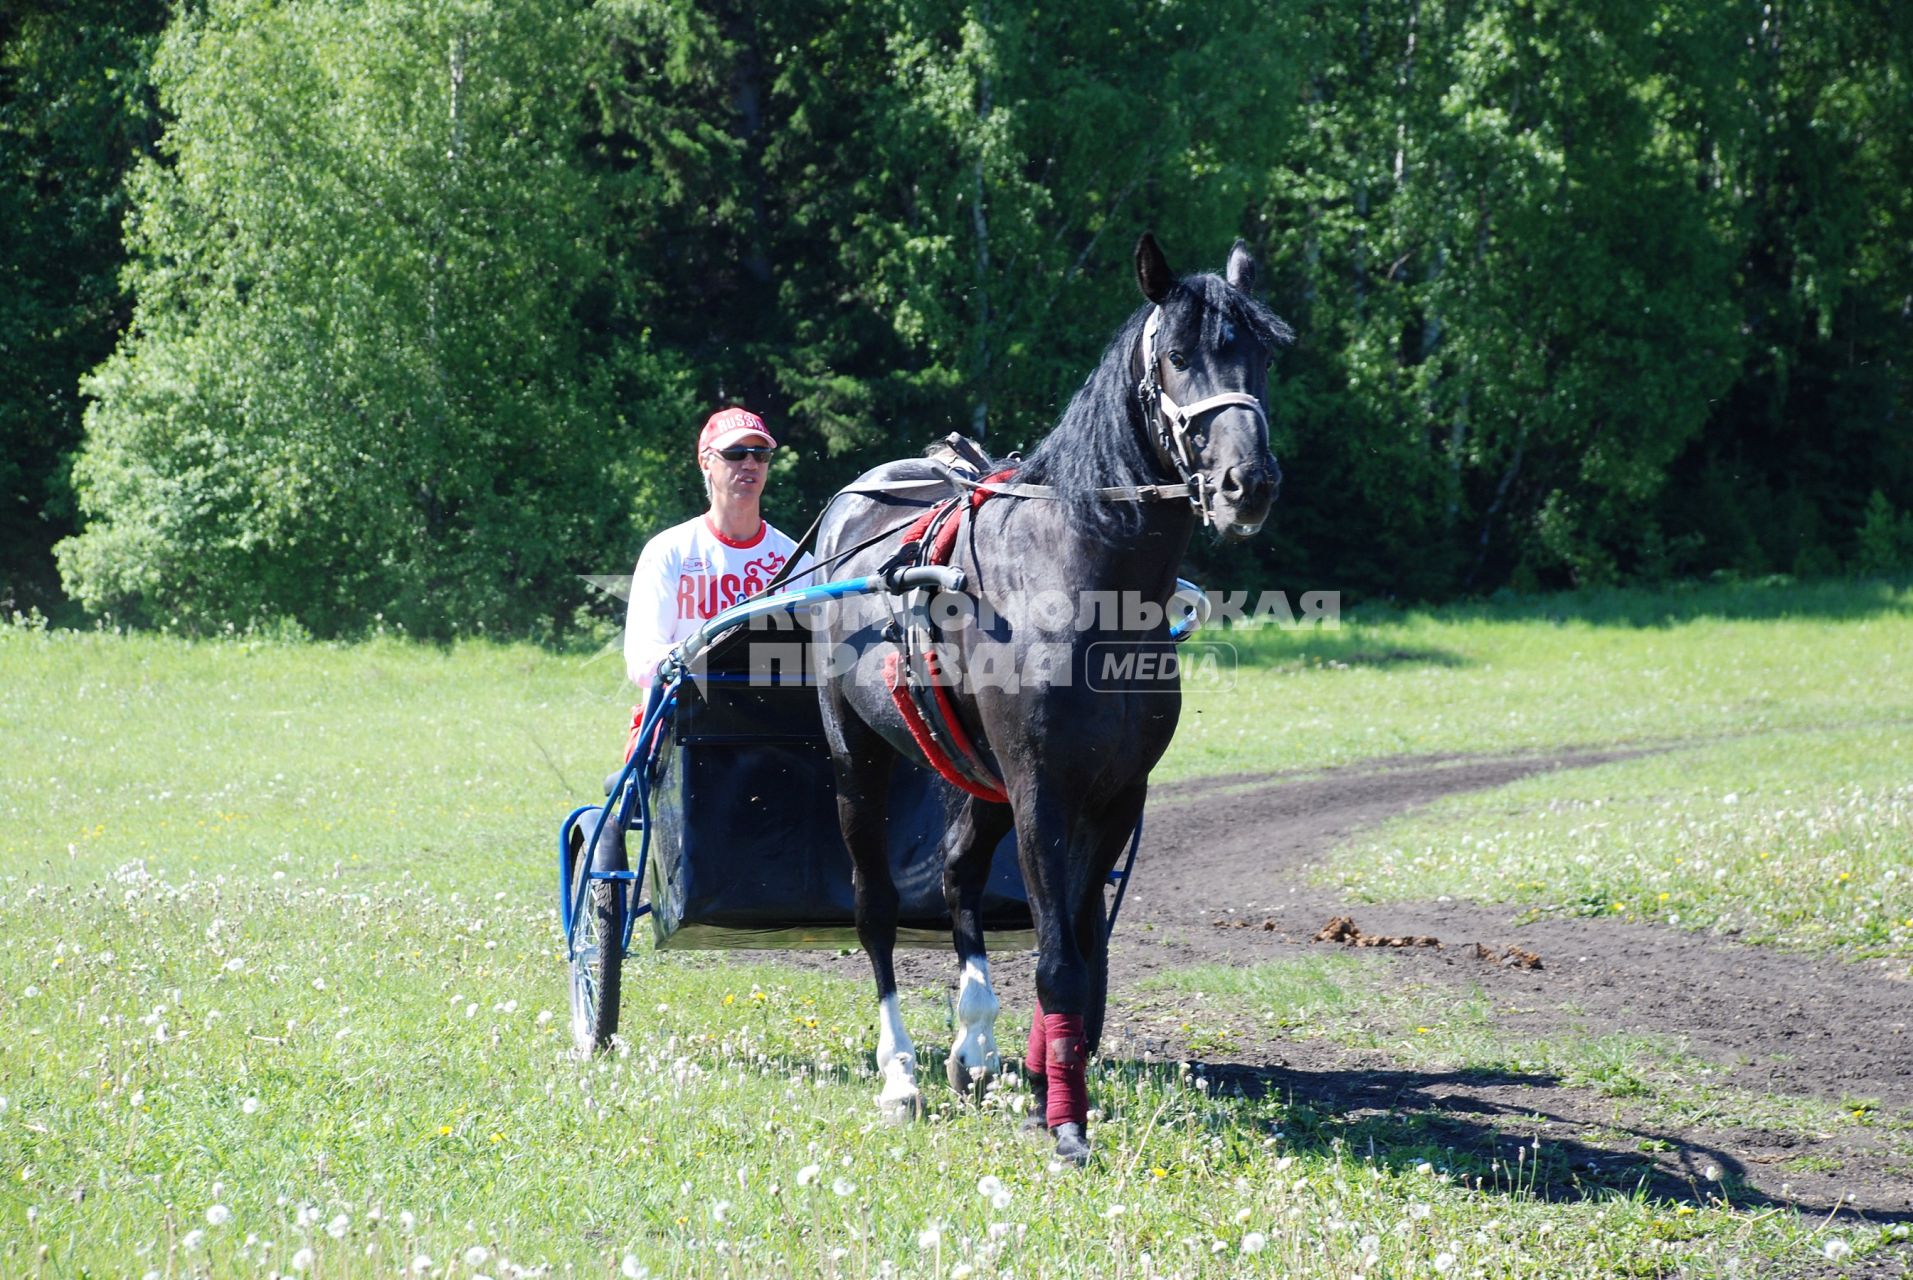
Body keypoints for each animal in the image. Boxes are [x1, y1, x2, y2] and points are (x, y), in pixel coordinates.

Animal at [814, 234, 1293, 1163]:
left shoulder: (1115, 794)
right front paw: (1066, 1122)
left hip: (977, 775)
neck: (1079, 573)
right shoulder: (1042, 789)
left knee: (959, 875)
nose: (1244, 484)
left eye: (1258, 354)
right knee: (876, 909)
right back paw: (899, 1074)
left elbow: (1085, 949)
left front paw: (1043, 1077)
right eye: (1178, 356)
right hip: (857, 757)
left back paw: (973, 1043)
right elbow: (1059, 960)